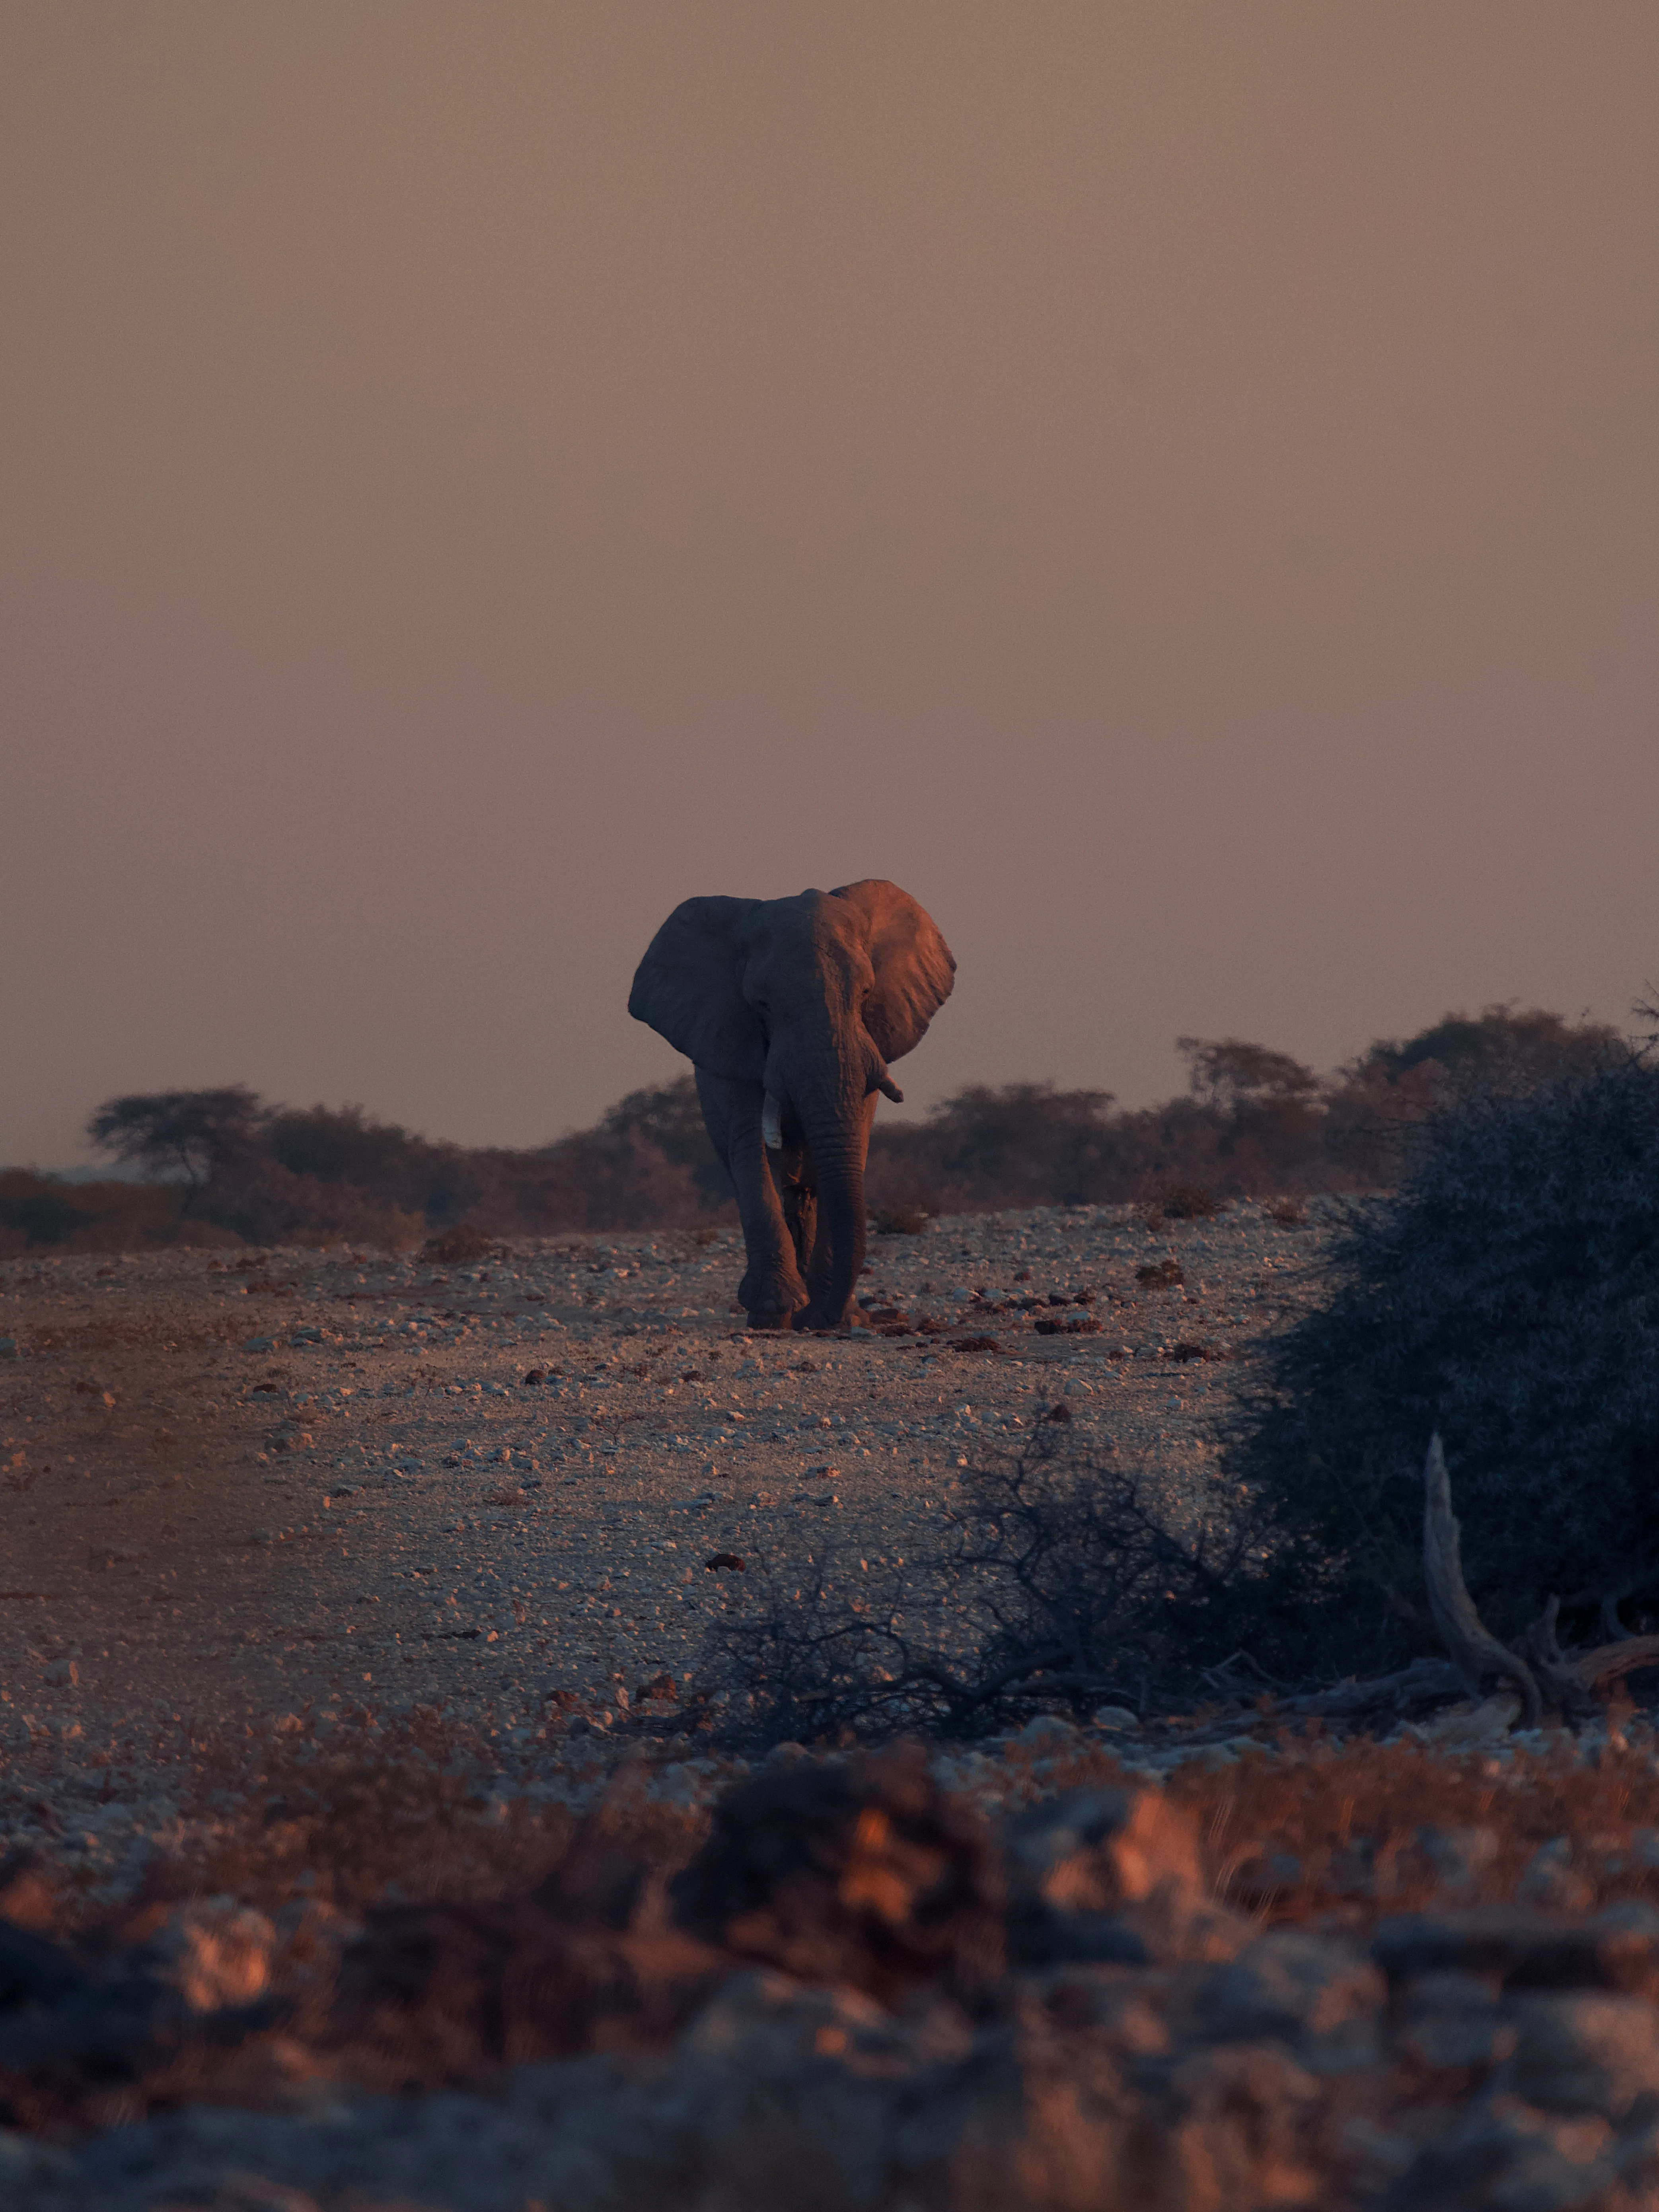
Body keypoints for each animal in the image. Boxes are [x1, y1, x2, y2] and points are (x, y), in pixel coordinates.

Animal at [629, 880, 955, 1332]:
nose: (824, 1319)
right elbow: (750, 1146)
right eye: (762, 1005)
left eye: (866, 992)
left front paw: (831, 1316)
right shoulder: (729, 1039)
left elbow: (853, 1140)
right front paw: (773, 1311)